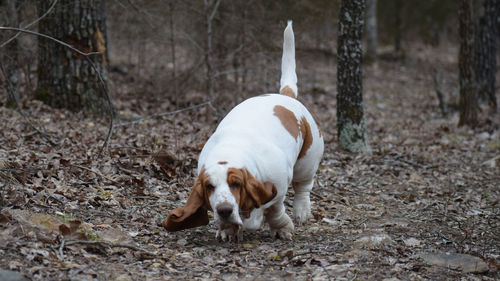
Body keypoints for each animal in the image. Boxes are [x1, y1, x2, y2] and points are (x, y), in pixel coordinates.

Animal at [163, 21, 324, 241]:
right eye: (209, 187)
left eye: (236, 184)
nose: (224, 210)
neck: (230, 152)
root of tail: (286, 95)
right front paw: (228, 231)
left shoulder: (279, 188)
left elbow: (274, 210)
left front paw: (282, 228)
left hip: (307, 160)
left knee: (303, 187)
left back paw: (302, 211)